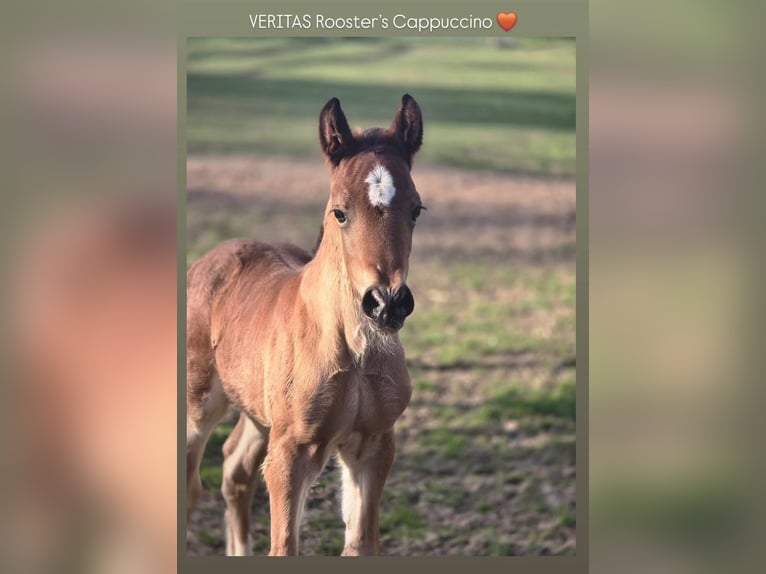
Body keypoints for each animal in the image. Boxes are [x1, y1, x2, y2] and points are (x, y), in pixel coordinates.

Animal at [186, 94, 425, 556]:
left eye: (416, 210)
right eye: (340, 213)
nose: (386, 304)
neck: (354, 349)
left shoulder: (374, 445)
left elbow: (361, 544)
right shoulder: (290, 453)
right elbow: (285, 545)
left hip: (259, 415)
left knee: (234, 469)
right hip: (198, 406)